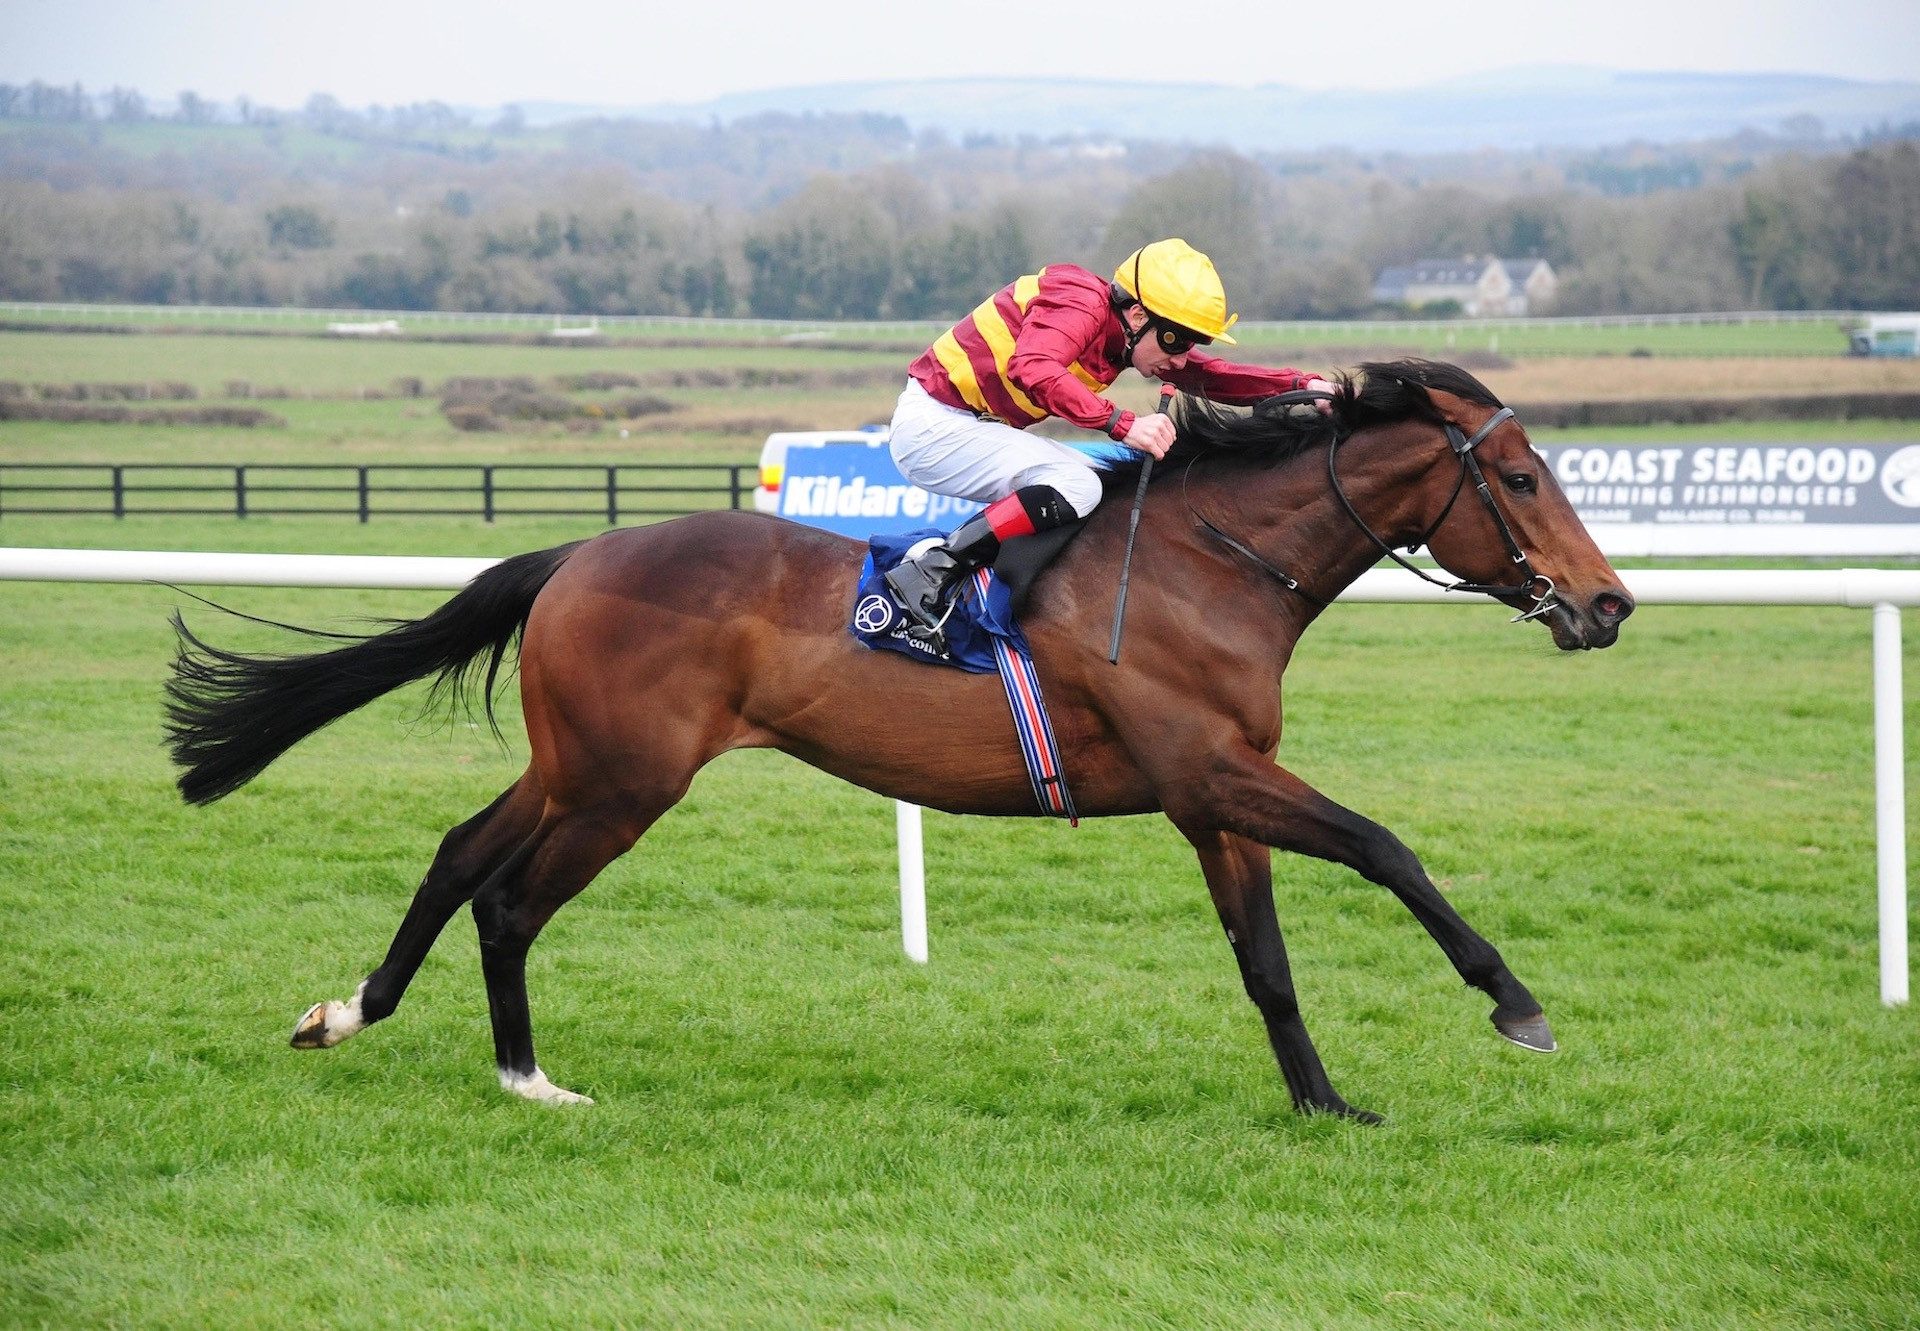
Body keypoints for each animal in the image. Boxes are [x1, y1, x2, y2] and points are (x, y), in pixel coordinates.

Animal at [168, 359, 1635, 1113]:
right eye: (1520, 477)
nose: (1610, 602)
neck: (1209, 563)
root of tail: (576, 553)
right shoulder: (1212, 768)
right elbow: (1387, 845)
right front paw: (1516, 1001)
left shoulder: (1214, 795)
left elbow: (1266, 962)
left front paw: (1325, 1102)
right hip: (622, 781)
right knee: (511, 894)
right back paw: (527, 1075)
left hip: (577, 763)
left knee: (460, 853)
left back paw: (354, 1014)